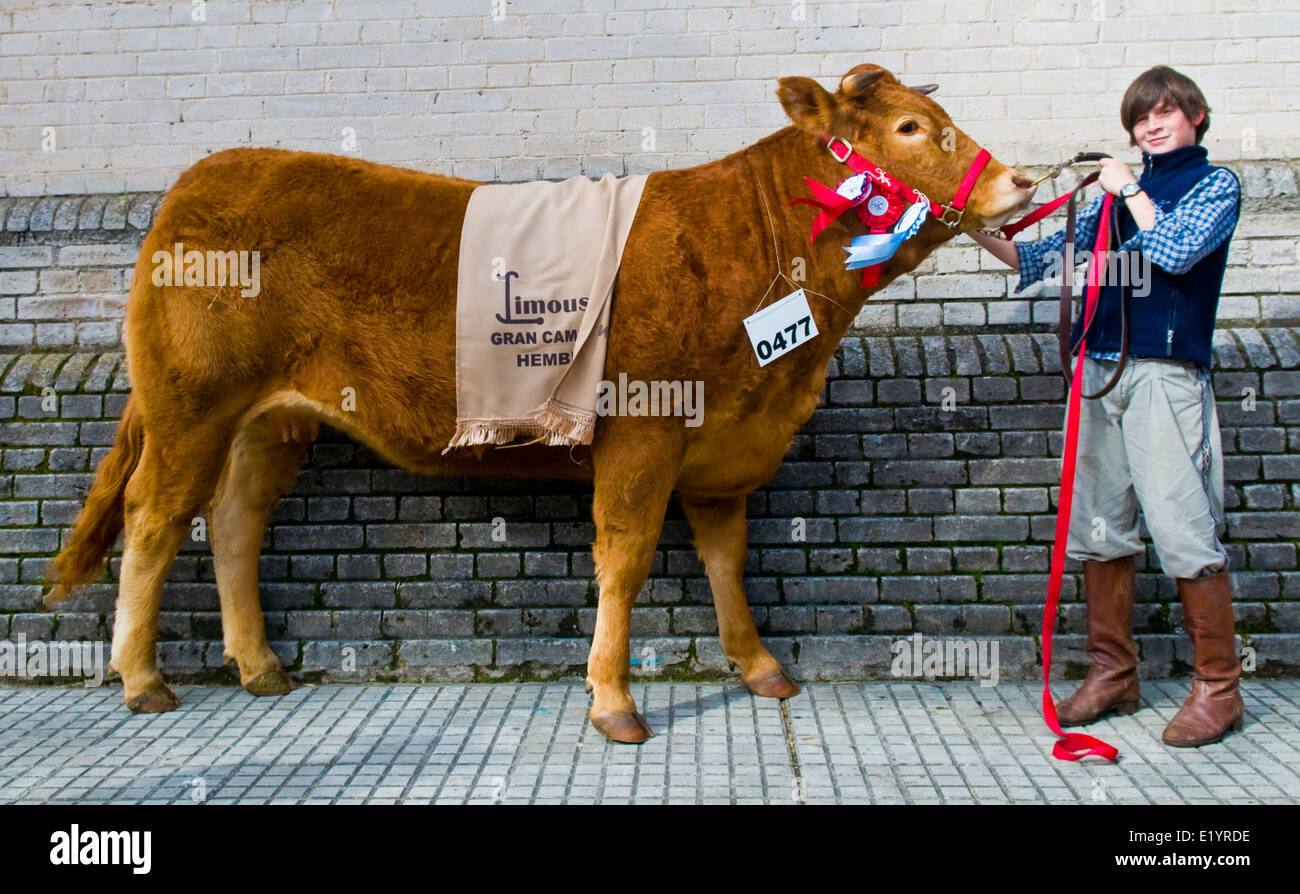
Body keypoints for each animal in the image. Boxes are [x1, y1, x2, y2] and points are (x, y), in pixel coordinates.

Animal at [45, 63, 1034, 743]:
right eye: (912, 126)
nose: (1022, 181)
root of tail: (203, 176)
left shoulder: (718, 454)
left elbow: (726, 561)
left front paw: (761, 669)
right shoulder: (643, 429)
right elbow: (624, 560)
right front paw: (613, 702)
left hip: (271, 421)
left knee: (234, 522)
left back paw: (259, 668)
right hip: (193, 402)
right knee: (155, 517)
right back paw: (142, 679)